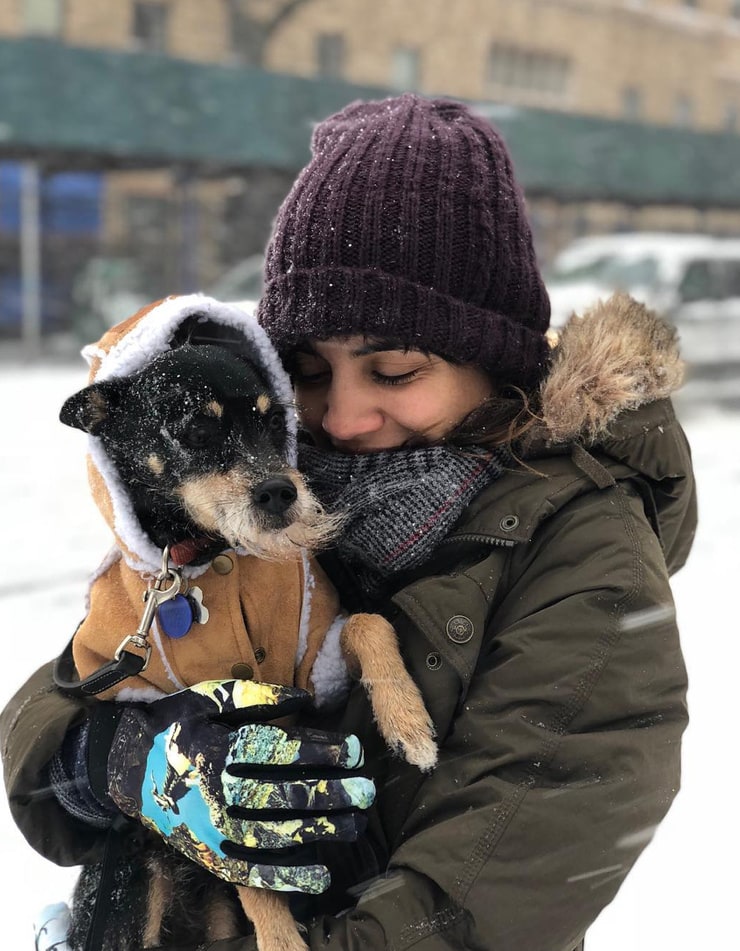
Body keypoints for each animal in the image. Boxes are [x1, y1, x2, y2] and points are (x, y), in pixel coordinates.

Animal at [62, 294, 440, 951]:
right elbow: (245, 862)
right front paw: (282, 941)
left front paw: (408, 724)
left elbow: (369, 624)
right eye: (195, 429)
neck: (207, 558)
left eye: (272, 421)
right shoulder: (217, 760)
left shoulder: (318, 662)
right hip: (130, 887)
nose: (282, 492)